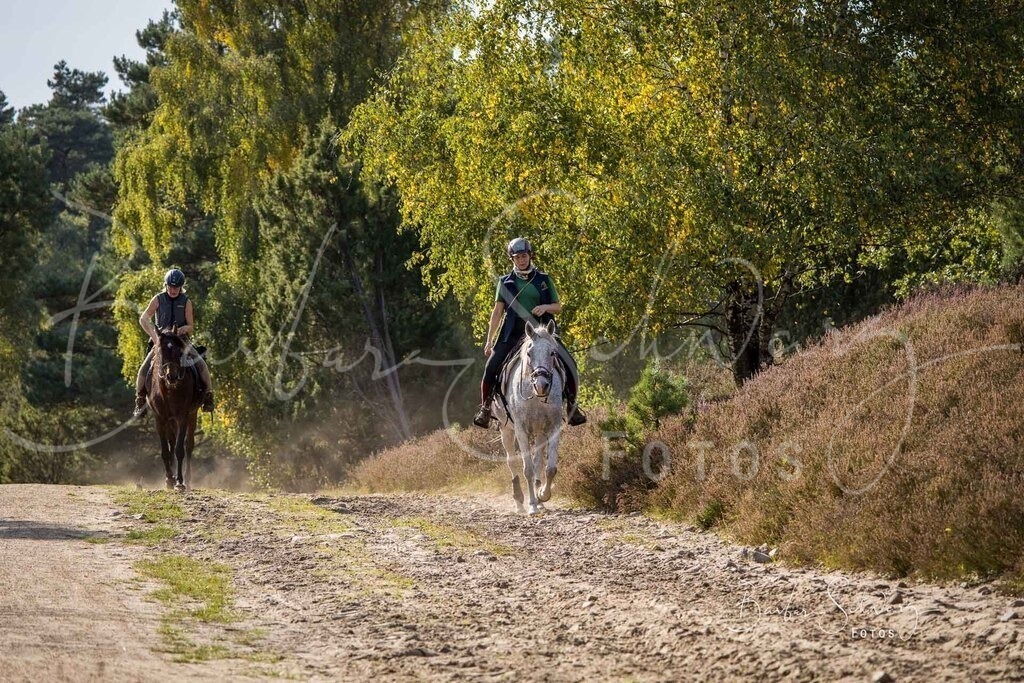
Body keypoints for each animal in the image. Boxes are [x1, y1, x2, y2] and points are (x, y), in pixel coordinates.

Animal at [147, 328, 201, 491]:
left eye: (179, 352)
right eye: (161, 351)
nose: (171, 376)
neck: (169, 390)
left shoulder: (182, 417)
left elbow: (179, 449)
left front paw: (179, 482)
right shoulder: (160, 418)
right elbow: (165, 450)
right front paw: (169, 480)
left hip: (192, 415)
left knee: (188, 445)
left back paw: (187, 479)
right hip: (170, 421)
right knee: (172, 441)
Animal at [492, 320, 565, 515]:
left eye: (552, 353)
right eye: (529, 354)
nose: (541, 385)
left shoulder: (553, 427)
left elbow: (550, 468)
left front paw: (542, 496)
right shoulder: (521, 430)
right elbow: (528, 470)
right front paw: (532, 505)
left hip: (539, 432)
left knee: (538, 460)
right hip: (506, 430)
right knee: (511, 461)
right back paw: (519, 502)